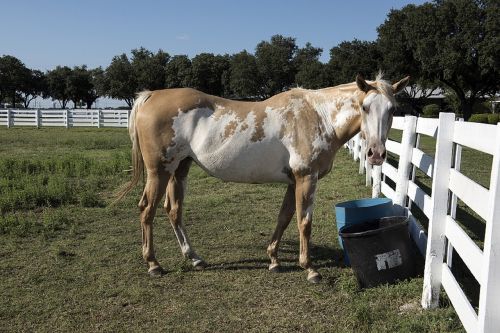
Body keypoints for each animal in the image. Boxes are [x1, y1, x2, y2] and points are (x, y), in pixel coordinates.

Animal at [117, 74, 410, 282]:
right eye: (365, 107)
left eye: (392, 109)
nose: (376, 154)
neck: (319, 116)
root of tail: (150, 96)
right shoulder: (306, 178)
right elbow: (304, 223)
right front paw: (310, 269)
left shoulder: (293, 181)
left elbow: (284, 218)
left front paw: (274, 260)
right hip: (160, 171)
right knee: (147, 210)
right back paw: (154, 265)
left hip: (180, 169)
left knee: (173, 210)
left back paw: (195, 258)